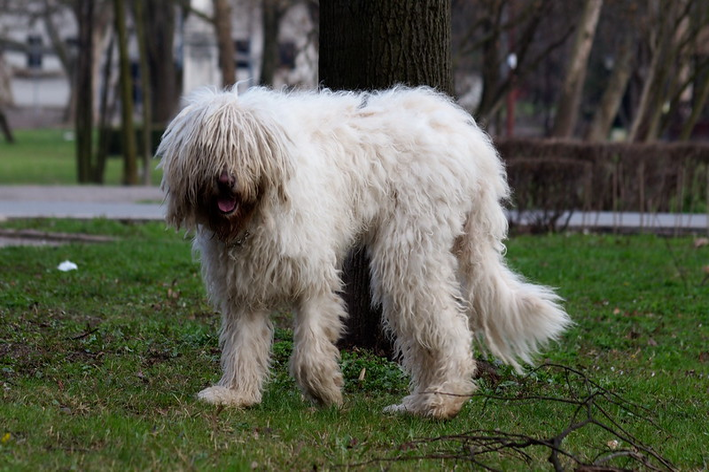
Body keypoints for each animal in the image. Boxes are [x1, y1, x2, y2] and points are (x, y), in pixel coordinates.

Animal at [156, 85, 568, 420]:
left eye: (243, 147)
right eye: (209, 148)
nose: (225, 180)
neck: (255, 213)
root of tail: (472, 141)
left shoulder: (314, 277)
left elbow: (310, 347)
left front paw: (323, 390)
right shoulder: (243, 288)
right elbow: (243, 344)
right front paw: (236, 394)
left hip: (408, 254)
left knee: (449, 330)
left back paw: (442, 402)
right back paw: (418, 403)